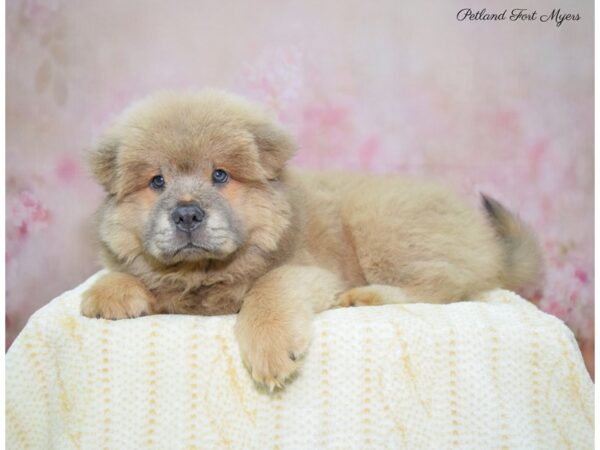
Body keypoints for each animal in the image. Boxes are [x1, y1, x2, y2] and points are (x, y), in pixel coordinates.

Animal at [81, 89, 544, 390]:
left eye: (220, 175)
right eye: (157, 182)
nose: (187, 213)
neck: (206, 273)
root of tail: (487, 240)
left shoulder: (309, 272)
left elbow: (268, 290)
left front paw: (270, 349)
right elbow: (125, 271)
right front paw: (110, 294)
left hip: (379, 222)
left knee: (444, 285)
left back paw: (365, 297)